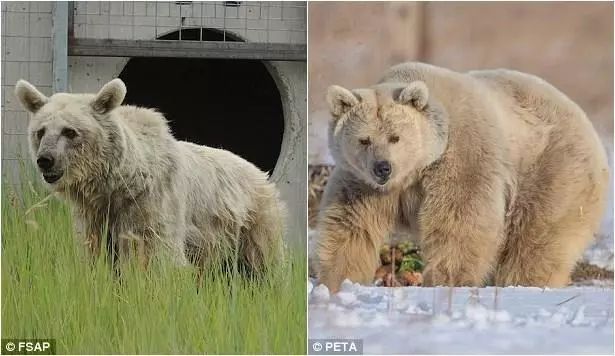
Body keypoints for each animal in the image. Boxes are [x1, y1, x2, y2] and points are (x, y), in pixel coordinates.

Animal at [13, 78, 284, 272]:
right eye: (40, 131)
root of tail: (260, 173)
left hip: (252, 223)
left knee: (263, 266)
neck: (115, 186)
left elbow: (156, 257)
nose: (45, 160)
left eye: (70, 131)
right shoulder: (93, 216)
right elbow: (94, 255)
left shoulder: (150, 207)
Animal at [318, 62, 612, 294]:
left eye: (395, 137)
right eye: (364, 139)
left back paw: (524, 283)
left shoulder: (462, 156)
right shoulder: (361, 182)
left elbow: (460, 221)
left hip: (551, 167)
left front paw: (447, 280)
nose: (383, 167)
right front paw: (337, 281)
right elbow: (351, 225)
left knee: (538, 238)